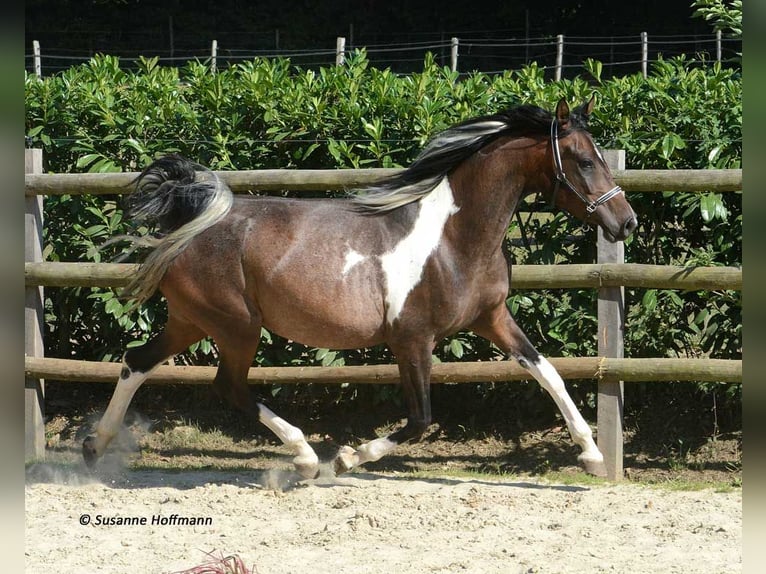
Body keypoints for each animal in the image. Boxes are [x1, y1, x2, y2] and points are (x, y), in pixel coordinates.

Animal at [82, 96, 637, 479]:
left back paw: (95, 445)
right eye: (584, 161)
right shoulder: (412, 339)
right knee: (228, 386)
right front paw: (349, 458)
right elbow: (420, 419)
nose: (626, 222)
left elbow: (549, 373)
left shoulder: (492, 318)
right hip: (236, 326)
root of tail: (194, 221)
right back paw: (307, 458)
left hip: (193, 321)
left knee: (136, 361)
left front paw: (592, 455)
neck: (454, 239)